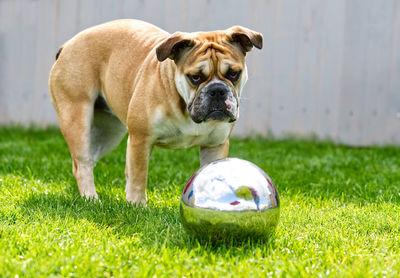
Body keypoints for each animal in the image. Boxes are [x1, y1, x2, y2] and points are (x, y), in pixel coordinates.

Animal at [47, 19, 262, 205]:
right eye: (195, 77)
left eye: (234, 73)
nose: (217, 90)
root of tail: (67, 45)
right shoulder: (140, 139)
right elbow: (138, 175)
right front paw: (136, 205)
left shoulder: (215, 145)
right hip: (77, 116)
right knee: (82, 164)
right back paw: (91, 199)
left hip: (108, 132)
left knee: (89, 160)